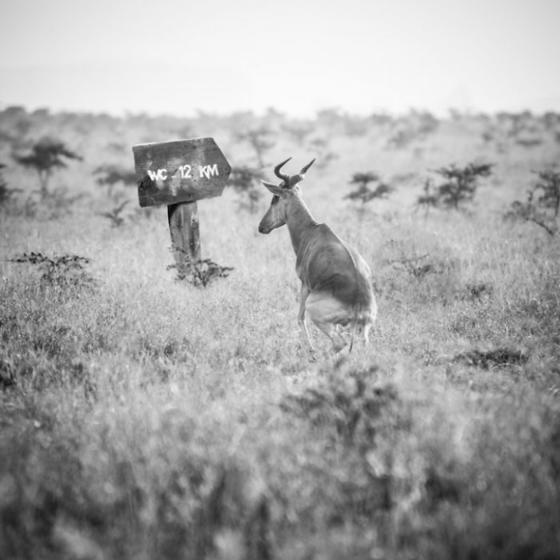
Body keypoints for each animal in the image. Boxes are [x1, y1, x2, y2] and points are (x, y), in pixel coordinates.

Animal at [258, 156, 376, 350]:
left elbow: (300, 318)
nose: (262, 226)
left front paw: (310, 349)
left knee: (340, 342)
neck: (312, 230)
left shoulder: (305, 285)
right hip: (363, 327)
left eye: (275, 198)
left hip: (315, 309)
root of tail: (358, 304)